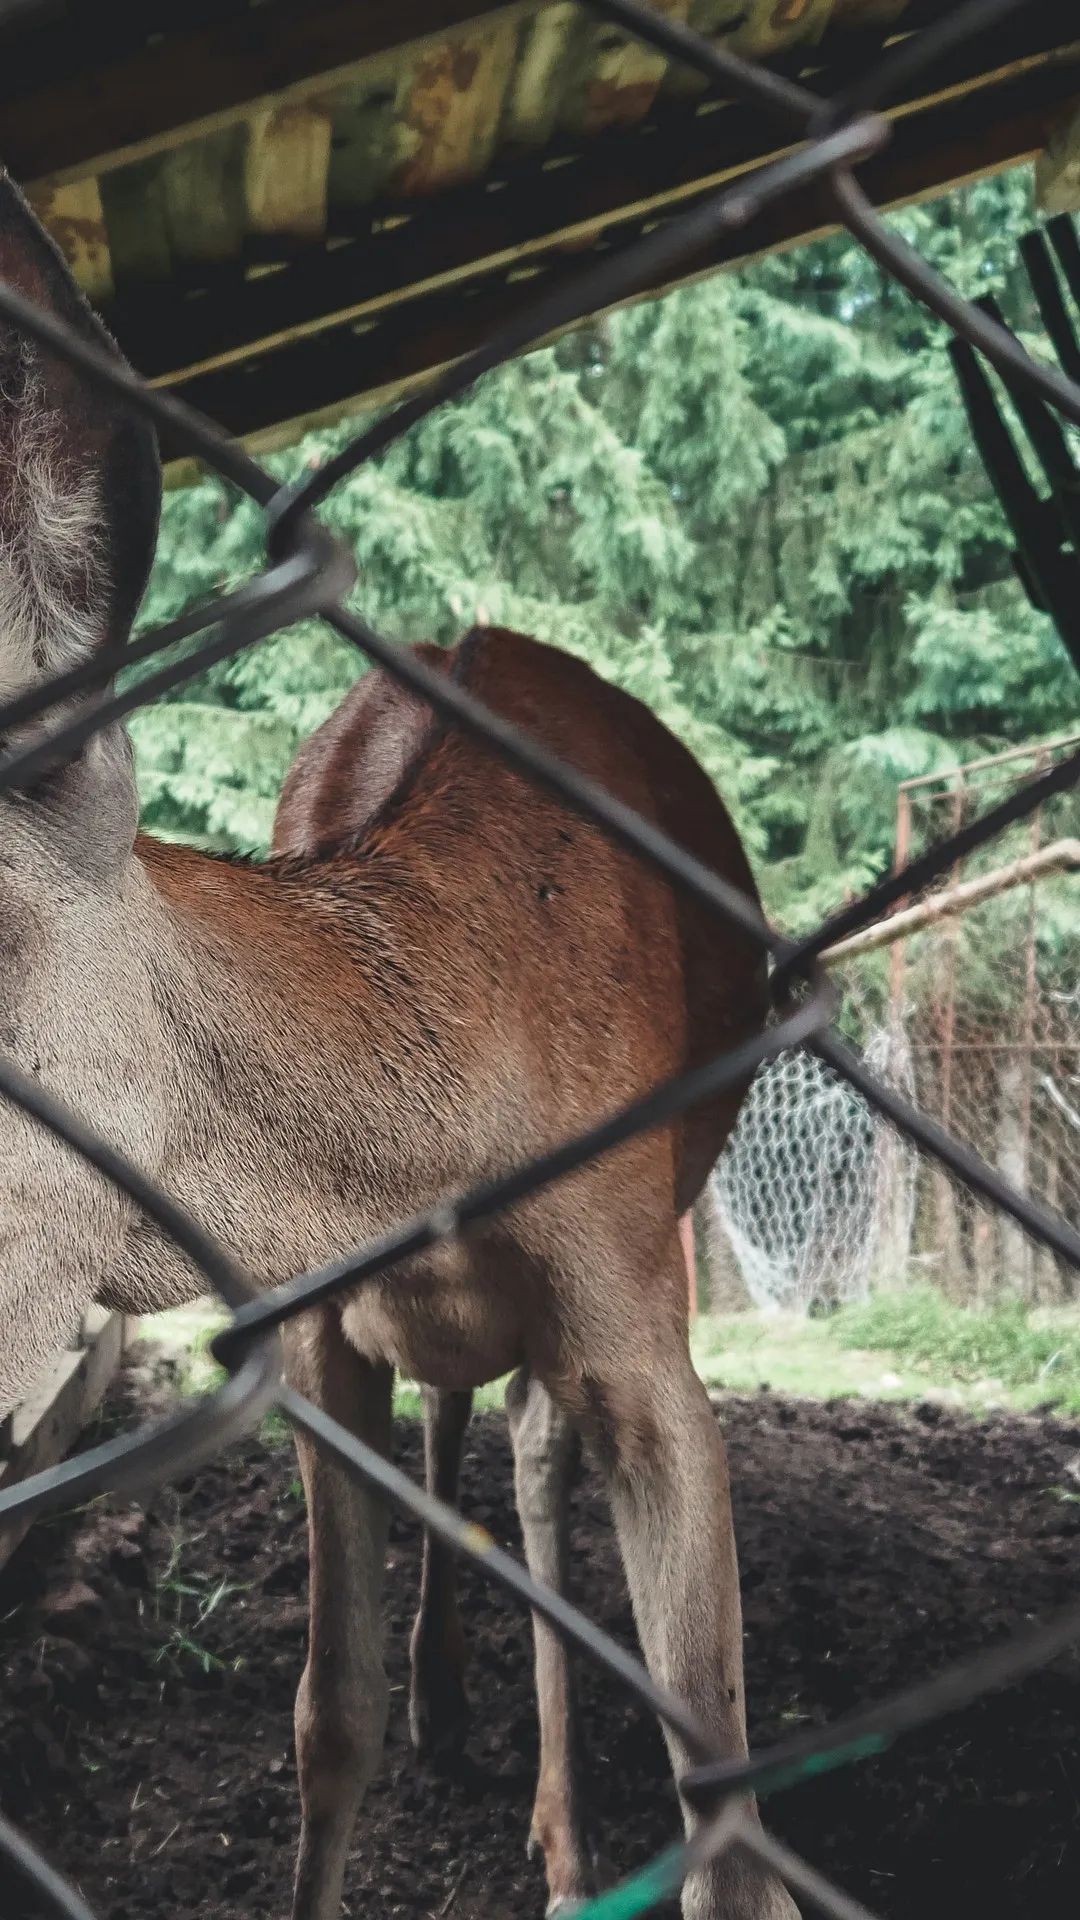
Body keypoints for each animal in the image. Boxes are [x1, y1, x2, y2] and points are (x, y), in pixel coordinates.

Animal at [0, 172, 798, 1920]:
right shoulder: (311, 1328)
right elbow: (328, 1717)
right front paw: (401, 1720)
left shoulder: (640, 1307)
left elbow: (724, 1795)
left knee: (530, 1461)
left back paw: (557, 1833)